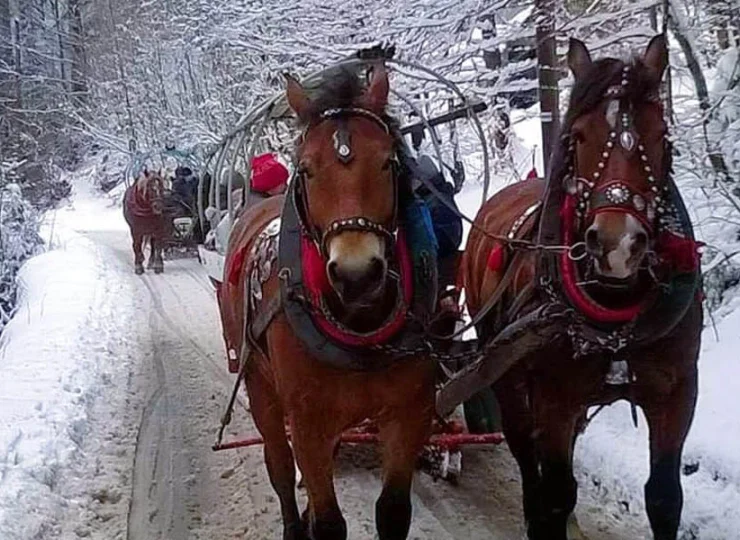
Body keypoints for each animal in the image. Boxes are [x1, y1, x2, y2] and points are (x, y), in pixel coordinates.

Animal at [217, 64, 434, 540]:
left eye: (388, 161)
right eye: (307, 169)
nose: (357, 274)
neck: (359, 326)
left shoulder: (407, 414)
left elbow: (393, 511)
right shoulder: (308, 422)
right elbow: (329, 521)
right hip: (260, 384)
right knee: (280, 465)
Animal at [460, 35, 704, 536]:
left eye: (662, 136)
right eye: (578, 137)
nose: (618, 244)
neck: (616, 317)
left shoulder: (676, 393)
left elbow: (664, 497)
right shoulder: (554, 396)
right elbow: (556, 490)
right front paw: (547, 518)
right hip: (504, 374)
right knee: (525, 451)